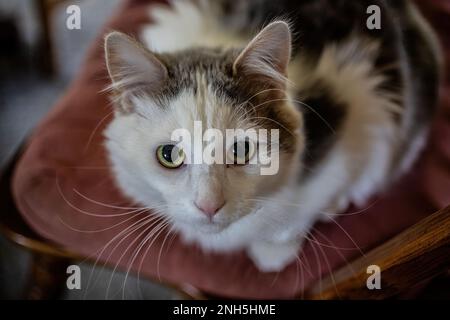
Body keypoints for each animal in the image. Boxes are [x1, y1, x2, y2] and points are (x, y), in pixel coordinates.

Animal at [102, 0, 440, 272]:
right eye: (169, 155)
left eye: (241, 149)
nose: (209, 206)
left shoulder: (365, 116)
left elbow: (297, 215)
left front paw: (273, 252)